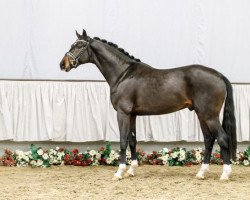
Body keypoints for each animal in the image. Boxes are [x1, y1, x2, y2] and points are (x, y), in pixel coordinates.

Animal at [60, 29, 236, 180]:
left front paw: (119, 172)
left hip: (209, 115)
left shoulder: (122, 113)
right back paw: (201, 173)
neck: (123, 74)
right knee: (209, 139)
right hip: (201, 114)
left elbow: (123, 141)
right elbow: (132, 140)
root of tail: (219, 75)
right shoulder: (132, 115)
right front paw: (131, 170)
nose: (63, 64)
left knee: (222, 138)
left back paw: (225, 174)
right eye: (73, 44)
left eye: (80, 45)